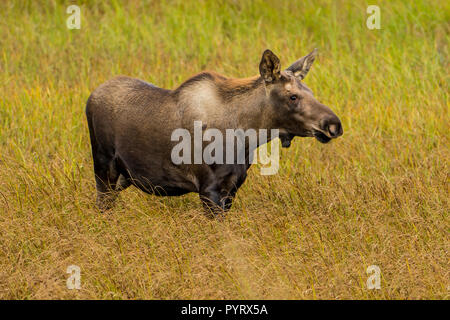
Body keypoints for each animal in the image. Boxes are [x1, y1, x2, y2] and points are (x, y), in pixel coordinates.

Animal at [86, 48, 342, 216]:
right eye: (293, 96)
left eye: (310, 91)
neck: (246, 137)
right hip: (103, 169)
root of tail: (90, 97)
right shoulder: (209, 190)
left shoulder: (232, 188)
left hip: (122, 177)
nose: (334, 124)